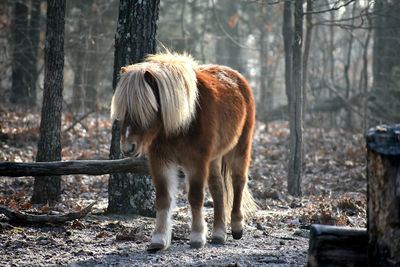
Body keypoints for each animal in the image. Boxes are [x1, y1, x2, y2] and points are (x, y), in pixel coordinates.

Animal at [111, 51, 256, 251]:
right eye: (124, 110)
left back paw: (236, 226)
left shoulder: (196, 162)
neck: (183, 121)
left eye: (145, 109)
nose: (127, 147)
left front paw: (197, 236)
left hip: (240, 148)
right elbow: (163, 198)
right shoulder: (161, 162)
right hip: (214, 157)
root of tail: (238, 77)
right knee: (217, 188)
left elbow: (195, 197)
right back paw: (219, 233)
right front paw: (159, 239)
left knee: (238, 182)